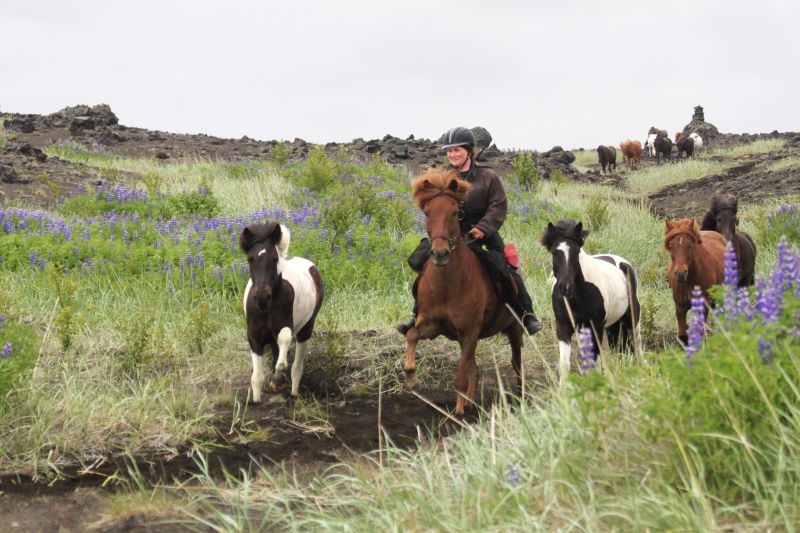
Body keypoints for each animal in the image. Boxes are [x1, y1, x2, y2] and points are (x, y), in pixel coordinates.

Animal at [239, 220, 324, 400]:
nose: (261, 298)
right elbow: (256, 377)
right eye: (250, 259)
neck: (267, 308)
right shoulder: (254, 335)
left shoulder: (287, 326)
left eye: (274, 258)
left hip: (306, 329)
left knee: (297, 367)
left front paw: (279, 374)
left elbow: (284, 340)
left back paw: (293, 392)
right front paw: (256, 400)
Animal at [400, 168, 524, 414]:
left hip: (513, 330)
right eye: (427, 212)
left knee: (516, 364)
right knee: (474, 369)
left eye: (456, 212)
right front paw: (410, 379)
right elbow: (411, 335)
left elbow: (460, 377)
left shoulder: (469, 331)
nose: (440, 254)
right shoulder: (434, 325)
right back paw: (470, 401)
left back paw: (520, 397)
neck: (448, 284)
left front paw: (458, 413)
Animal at [540, 219, 640, 382]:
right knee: (607, 356)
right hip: (603, 328)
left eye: (576, 252)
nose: (566, 287)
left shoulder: (595, 326)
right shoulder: (563, 326)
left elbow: (593, 361)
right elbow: (565, 365)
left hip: (631, 319)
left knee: (637, 346)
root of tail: (622, 263)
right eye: (555, 252)